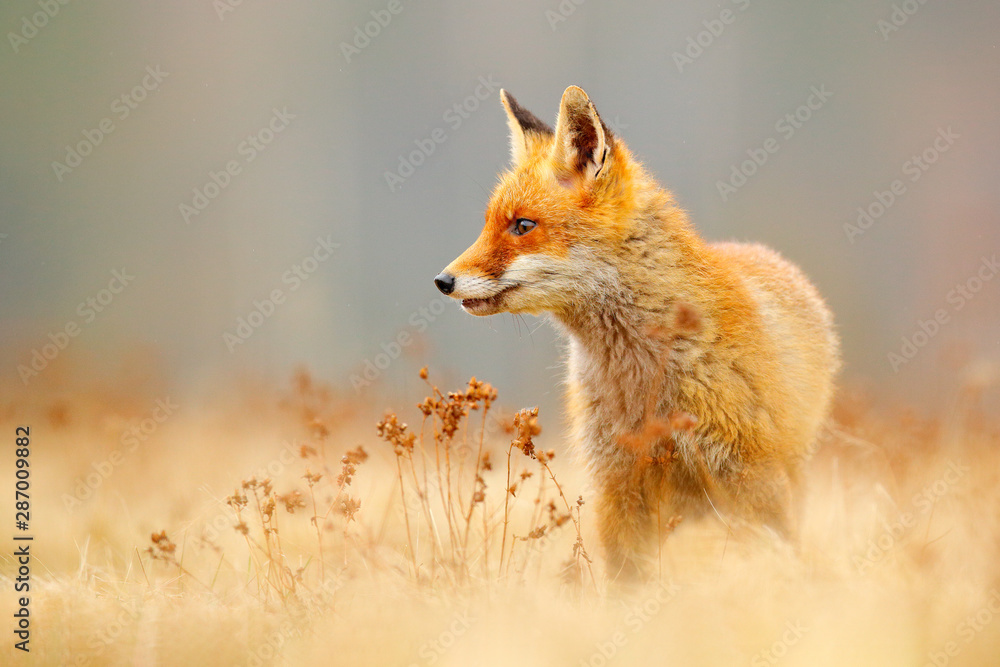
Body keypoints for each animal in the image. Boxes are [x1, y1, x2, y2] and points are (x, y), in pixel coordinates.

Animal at [433, 86, 840, 580]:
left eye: (523, 225)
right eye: (488, 224)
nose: (442, 281)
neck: (641, 377)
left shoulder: (751, 475)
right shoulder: (617, 481)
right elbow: (626, 581)